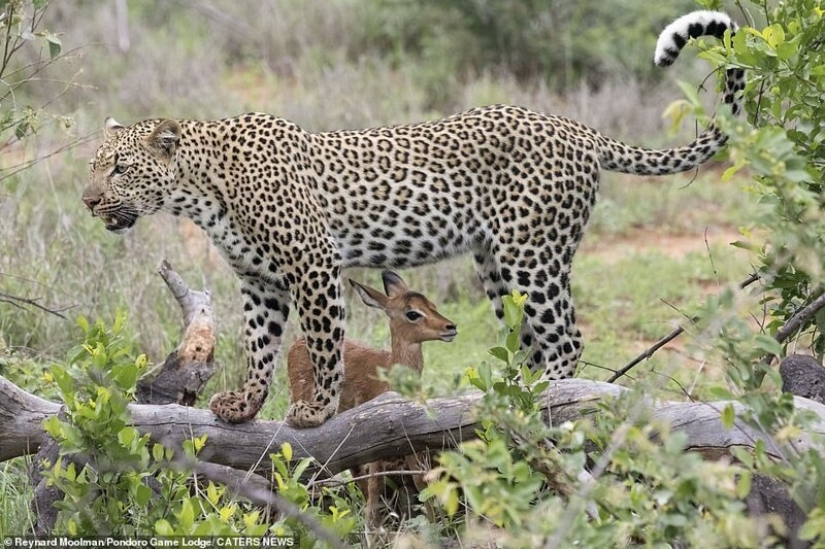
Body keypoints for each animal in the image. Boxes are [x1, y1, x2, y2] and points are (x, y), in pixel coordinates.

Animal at [82, 11, 744, 428]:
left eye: (119, 169)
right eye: (94, 167)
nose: (88, 201)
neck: (200, 190)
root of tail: (578, 129)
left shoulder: (314, 265)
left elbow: (324, 344)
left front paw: (317, 410)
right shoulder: (260, 280)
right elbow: (258, 347)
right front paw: (244, 406)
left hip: (533, 255)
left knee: (567, 338)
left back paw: (548, 396)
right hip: (496, 264)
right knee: (531, 338)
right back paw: (514, 393)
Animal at [287, 270, 457, 526]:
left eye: (432, 304)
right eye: (412, 313)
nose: (451, 327)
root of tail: (295, 343)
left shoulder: (409, 436)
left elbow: (421, 479)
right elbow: (376, 483)